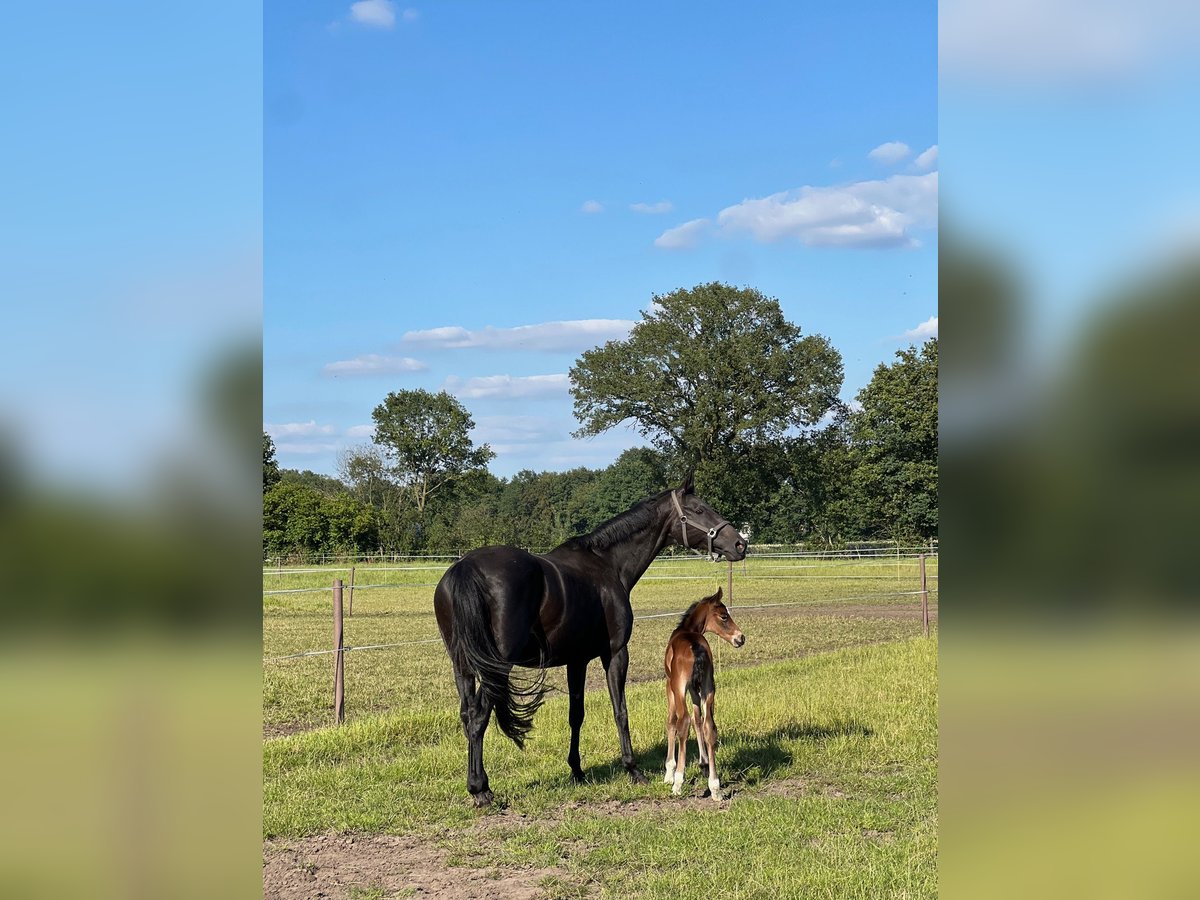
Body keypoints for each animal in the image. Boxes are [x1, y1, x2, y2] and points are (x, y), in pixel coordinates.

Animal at [663, 587, 745, 801]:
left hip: (679, 688)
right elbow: (698, 719)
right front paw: (704, 763)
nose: (741, 638)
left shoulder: (671, 686)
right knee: (710, 726)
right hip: (709, 687)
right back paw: (715, 786)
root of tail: (695, 646)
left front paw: (669, 772)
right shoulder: (695, 688)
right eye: (724, 616)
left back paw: (678, 782)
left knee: (682, 722)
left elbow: (672, 722)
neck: (687, 631)